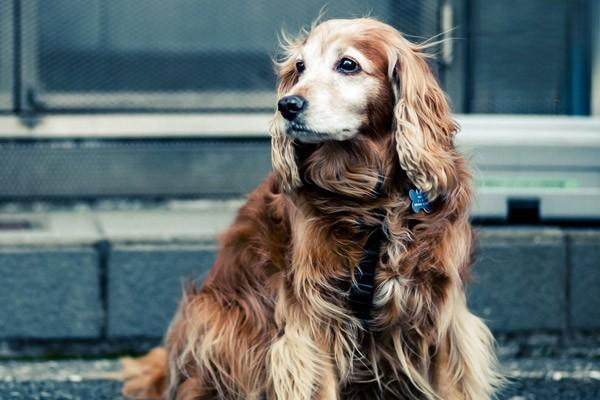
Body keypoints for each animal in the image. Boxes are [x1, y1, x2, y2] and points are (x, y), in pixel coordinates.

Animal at [122, 18, 502, 400]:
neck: (373, 202)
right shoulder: (313, 317)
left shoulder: (440, 313)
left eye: (347, 64)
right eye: (300, 67)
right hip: (214, 316)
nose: (287, 105)